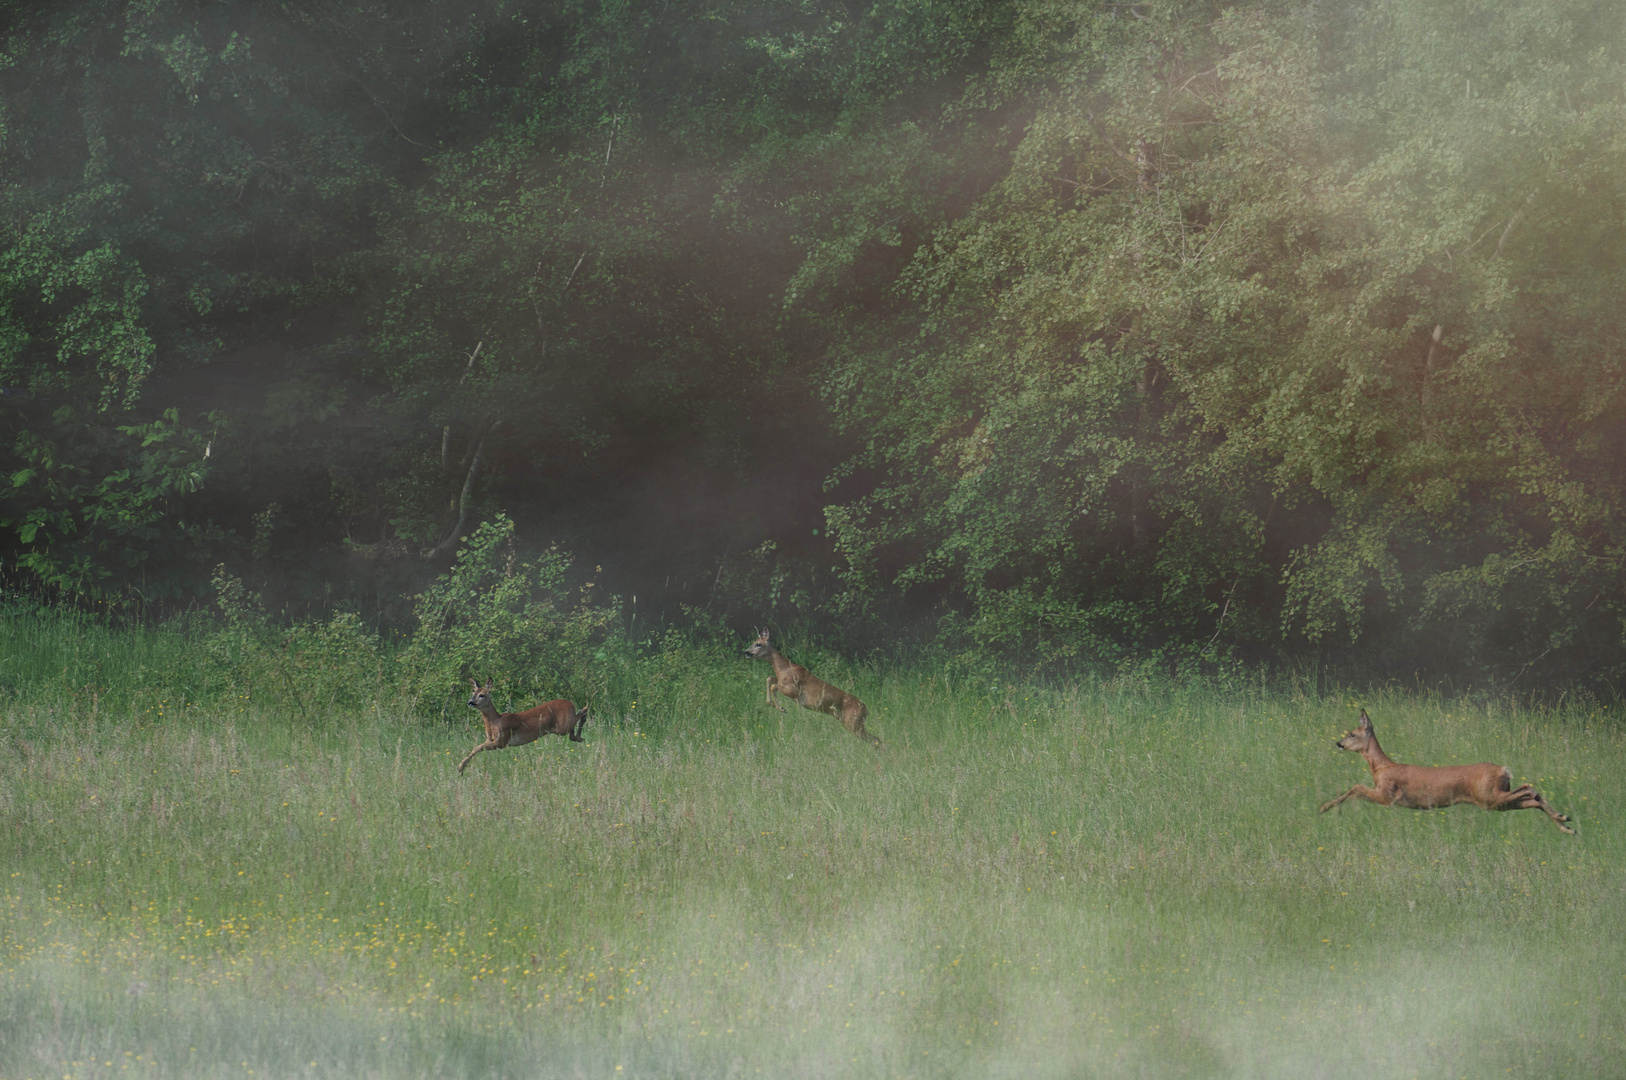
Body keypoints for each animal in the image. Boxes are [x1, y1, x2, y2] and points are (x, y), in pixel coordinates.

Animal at [458, 683, 591, 777]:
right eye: (473, 692)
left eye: (482, 695)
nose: (470, 702)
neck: (495, 721)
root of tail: (571, 703)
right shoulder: (490, 739)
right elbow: (475, 749)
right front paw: (460, 769)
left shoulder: (502, 741)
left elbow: (477, 748)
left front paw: (460, 768)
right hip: (563, 726)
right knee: (575, 724)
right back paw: (578, 737)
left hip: (563, 726)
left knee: (582, 712)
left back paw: (581, 729)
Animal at [744, 627, 884, 748]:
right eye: (753, 642)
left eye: (758, 644)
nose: (746, 652)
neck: (782, 668)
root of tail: (866, 709)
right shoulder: (782, 682)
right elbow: (769, 678)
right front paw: (772, 704)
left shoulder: (793, 690)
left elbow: (773, 685)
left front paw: (781, 708)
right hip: (853, 723)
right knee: (877, 740)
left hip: (853, 723)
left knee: (876, 740)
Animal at [1320, 709, 1573, 832]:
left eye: (1353, 734)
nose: (1339, 743)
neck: (1381, 767)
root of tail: (1504, 769)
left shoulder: (1387, 795)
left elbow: (1355, 787)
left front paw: (1325, 807)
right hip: (1496, 801)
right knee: (1531, 797)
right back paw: (1565, 823)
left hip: (1489, 797)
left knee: (1529, 789)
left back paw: (1562, 819)